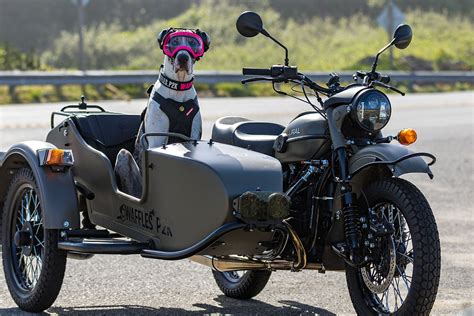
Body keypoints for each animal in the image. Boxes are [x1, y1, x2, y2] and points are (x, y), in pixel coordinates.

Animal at [114, 28, 210, 196]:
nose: (183, 57)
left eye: (193, 43)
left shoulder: (193, 138)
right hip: (125, 156)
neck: (177, 89)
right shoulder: (157, 140)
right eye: (173, 42)